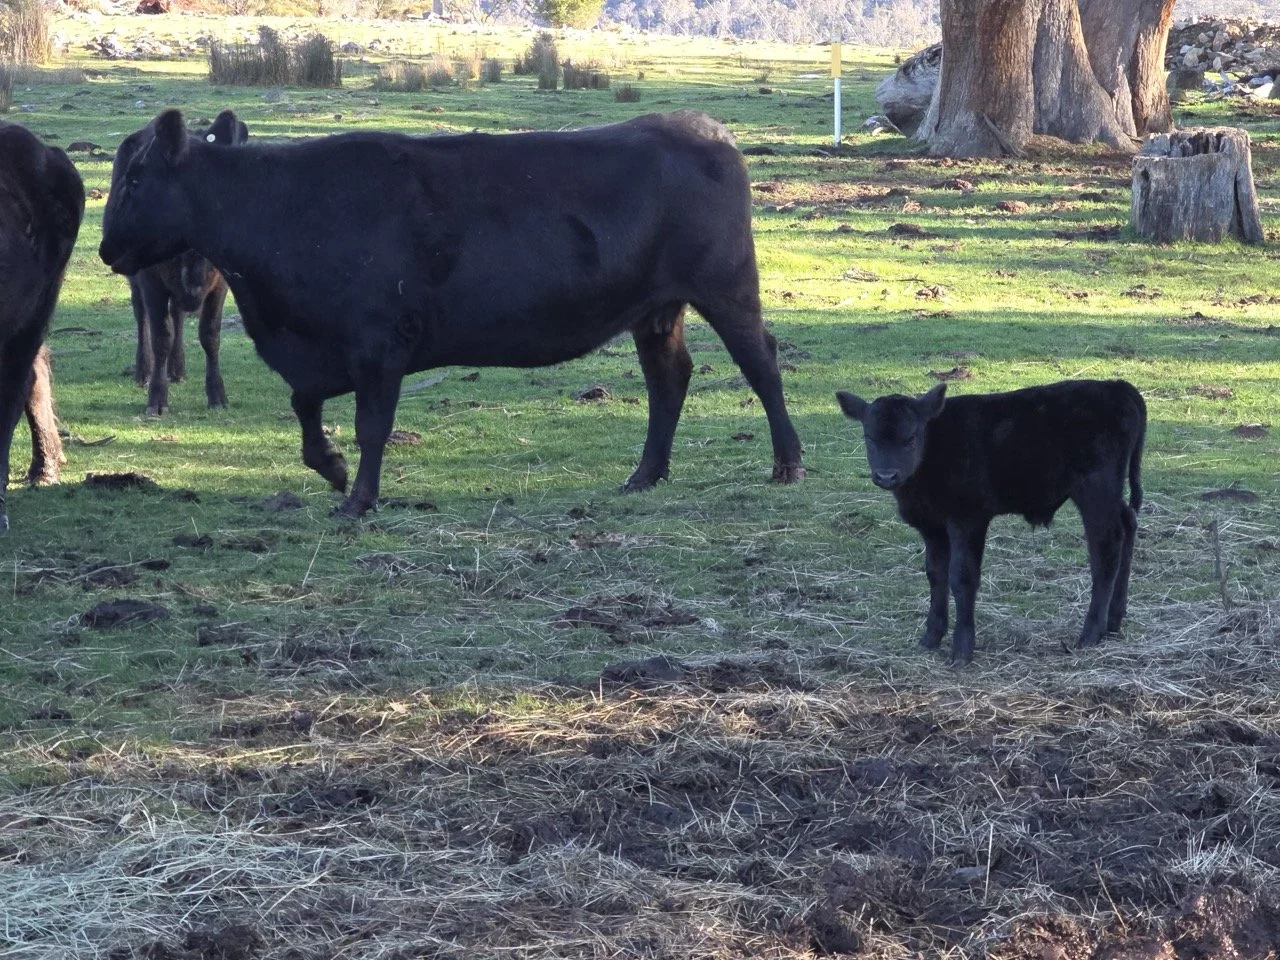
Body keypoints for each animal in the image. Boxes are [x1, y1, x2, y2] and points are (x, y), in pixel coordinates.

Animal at [118, 110, 248, 415]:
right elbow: (160, 335)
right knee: (141, 316)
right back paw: (144, 370)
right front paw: (157, 397)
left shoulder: (220, 283)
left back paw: (177, 369)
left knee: (176, 314)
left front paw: (217, 394)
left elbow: (210, 334)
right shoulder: (150, 280)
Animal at [836, 379, 1146, 665]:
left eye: (910, 438)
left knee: (1107, 549)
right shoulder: (932, 527)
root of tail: (1117, 387)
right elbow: (935, 575)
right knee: (1128, 523)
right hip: (1110, 493)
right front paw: (931, 638)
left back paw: (1091, 634)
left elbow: (962, 578)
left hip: (1096, 491)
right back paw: (1114, 621)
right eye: (869, 437)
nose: (886, 475)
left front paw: (961, 651)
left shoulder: (968, 518)